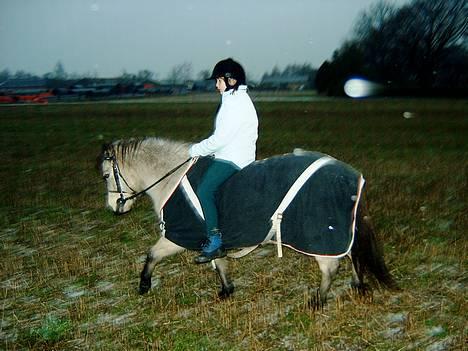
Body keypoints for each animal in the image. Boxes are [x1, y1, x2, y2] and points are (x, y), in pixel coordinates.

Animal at [98, 137, 398, 308]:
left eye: (106, 176)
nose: (113, 208)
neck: (171, 179)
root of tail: (351, 174)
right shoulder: (211, 240)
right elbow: (219, 262)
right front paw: (226, 291)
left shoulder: (177, 237)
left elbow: (151, 255)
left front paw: (143, 286)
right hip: (338, 232)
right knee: (352, 256)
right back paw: (357, 285)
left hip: (320, 236)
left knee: (331, 266)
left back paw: (318, 301)